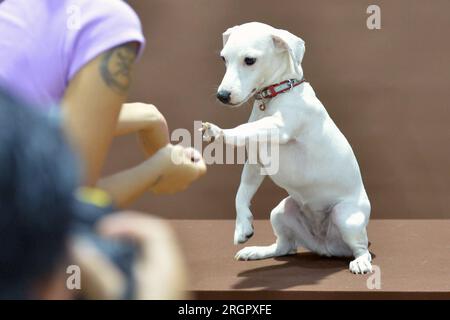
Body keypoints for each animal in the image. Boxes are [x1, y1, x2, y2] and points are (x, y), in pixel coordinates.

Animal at [203, 22, 372, 274]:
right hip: (281, 212)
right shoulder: (255, 161)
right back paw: (258, 251)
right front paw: (242, 226)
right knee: (285, 247)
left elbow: (245, 128)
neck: (276, 95)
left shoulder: (280, 127)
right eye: (224, 59)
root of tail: (325, 246)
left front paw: (219, 132)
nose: (222, 96)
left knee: (361, 247)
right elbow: (241, 192)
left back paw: (361, 261)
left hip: (346, 217)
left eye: (250, 60)